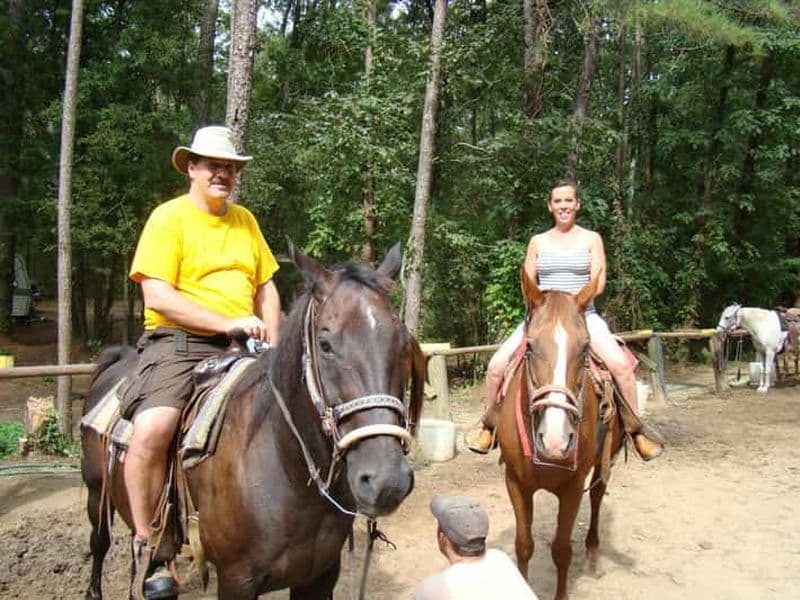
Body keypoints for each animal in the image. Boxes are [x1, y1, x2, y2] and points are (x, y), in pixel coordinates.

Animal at [80, 242, 426, 599]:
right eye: (325, 344)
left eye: (403, 343)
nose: (387, 481)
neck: (287, 471)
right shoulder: (236, 579)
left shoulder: (319, 576)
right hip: (97, 492)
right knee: (101, 542)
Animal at [496, 267, 624, 600]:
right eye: (529, 347)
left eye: (585, 348)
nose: (555, 442)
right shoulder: (515, 483)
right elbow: (523, 545)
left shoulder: (572, 487)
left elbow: (561, 550)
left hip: (606, 460)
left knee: (597, 496)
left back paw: (593, 556)